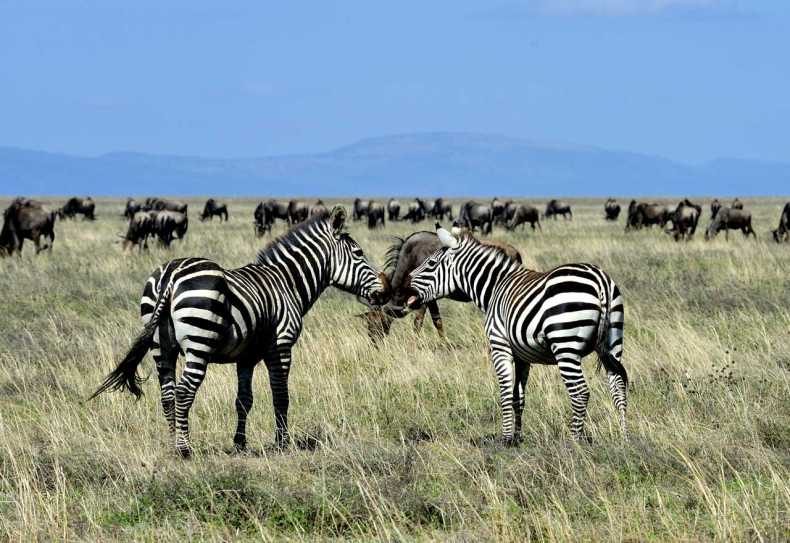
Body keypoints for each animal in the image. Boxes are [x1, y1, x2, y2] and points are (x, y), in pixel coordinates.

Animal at [90, 207, 387, 456]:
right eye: (359, 253)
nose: (383, 294)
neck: (287, 283)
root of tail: (171, 275)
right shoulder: (281, 345)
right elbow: (281, 395)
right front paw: (282, 443)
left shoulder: (246, 356)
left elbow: (244, 400)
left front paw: (240, 444)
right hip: (199, 342)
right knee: (184, 392)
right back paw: (184, 450)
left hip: (160, 345)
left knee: (168, 395)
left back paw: (171, 444)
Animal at [405, 226, 627, 445]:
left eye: (431, 263)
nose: (407, 281)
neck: (495, 288)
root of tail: (599, 280)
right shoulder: (523, 356)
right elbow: (518, 397)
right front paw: (517, 438)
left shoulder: (499, 347)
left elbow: (504, 394)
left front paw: (505, 439)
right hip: (613, 343)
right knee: (618, 385)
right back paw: (623, 437)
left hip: (566, 346)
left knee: (580, 392)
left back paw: (574, 442)